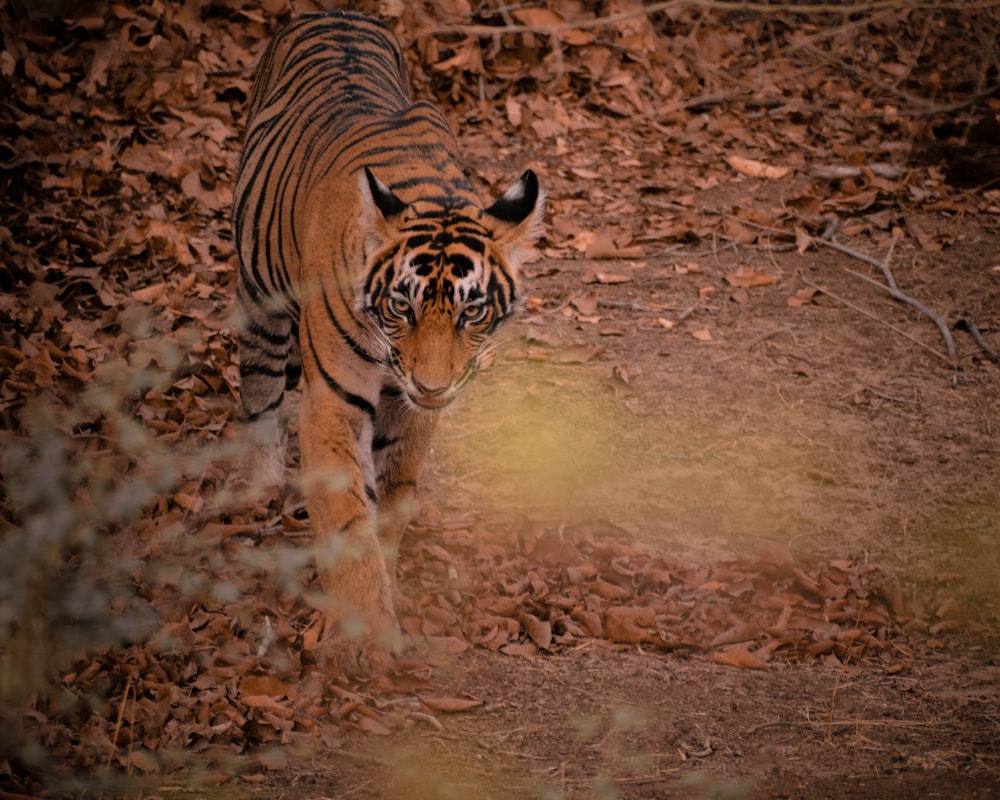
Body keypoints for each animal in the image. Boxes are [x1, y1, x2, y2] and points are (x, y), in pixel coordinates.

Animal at [232, 12, 548, 676]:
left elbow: (392, 500)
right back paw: (258, 487)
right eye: (402, 306)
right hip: (259, 297)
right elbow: (348, 518)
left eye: (472, 311)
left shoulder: (412, 413)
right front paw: (363, 637)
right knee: (260, 393)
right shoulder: (333, 402)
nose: (432, 385)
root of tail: (335, 12)